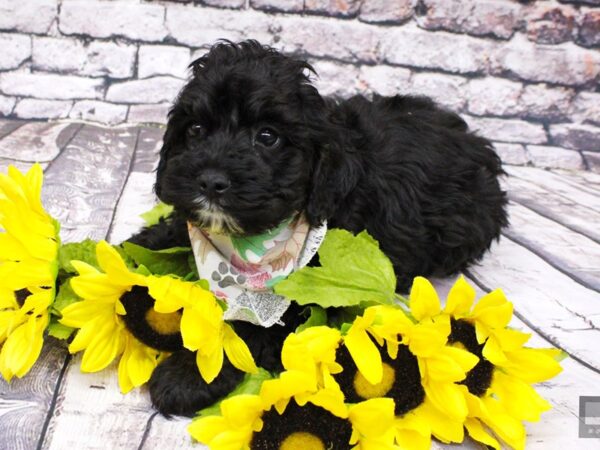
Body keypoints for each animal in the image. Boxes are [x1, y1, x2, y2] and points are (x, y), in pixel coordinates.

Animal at [129, 40, 508, 416]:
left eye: (267, 136)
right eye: (194, 130)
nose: (210, 181)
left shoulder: (306, 295)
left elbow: (251, 329)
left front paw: (186, 375)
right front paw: (135, 250)